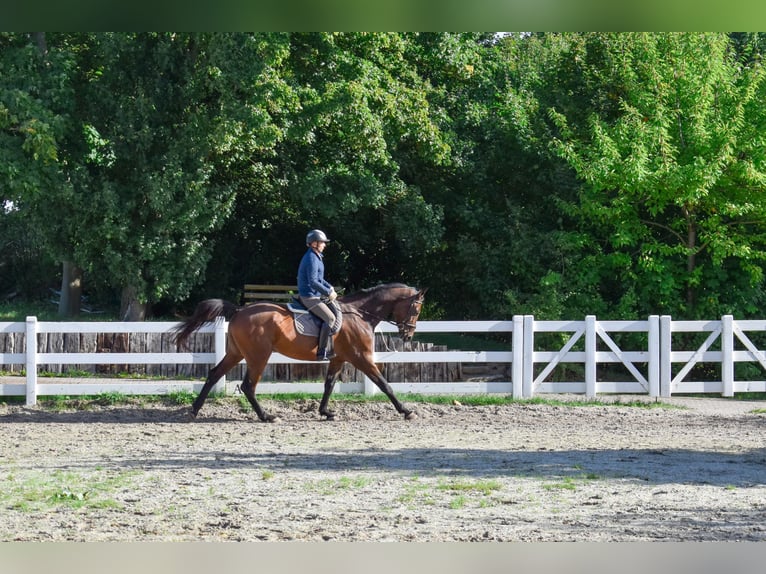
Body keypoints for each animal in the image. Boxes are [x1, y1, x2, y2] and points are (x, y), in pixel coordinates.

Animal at [173, 283, 427, 422]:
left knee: (214, 374)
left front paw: (325, 412)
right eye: (416, 309)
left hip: (236, 353)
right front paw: (406, 411)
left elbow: (329, 384)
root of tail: (238, 310)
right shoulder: (361, 357)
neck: (359, 314)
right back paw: (267, 417)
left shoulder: (339, 358)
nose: (408, 335)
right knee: (248, 386)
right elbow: (384, 384)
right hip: (258, 357)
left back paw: (194, 411)